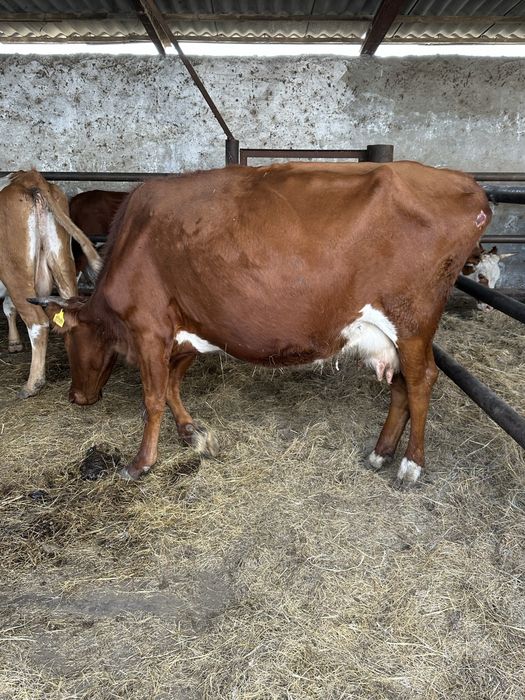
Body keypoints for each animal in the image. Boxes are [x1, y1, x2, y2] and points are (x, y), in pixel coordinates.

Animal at [0, 169, 102, 398]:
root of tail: (27, 176)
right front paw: (14, 342)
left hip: (14, 270)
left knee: (37, 322)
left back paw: (32, 384)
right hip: (61, 258)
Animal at [31, 161, 492, 487]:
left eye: (67, 338)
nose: (77, 397)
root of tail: (464, 183)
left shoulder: (149, 329)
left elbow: (154, 397)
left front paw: (140, 463)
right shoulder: (190, 328)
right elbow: (174, 385)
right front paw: (192, 432)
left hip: (413, 320)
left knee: (421, 380)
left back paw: (411, 465)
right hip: (391, 333)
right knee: (400, 386)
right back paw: (381, 452)